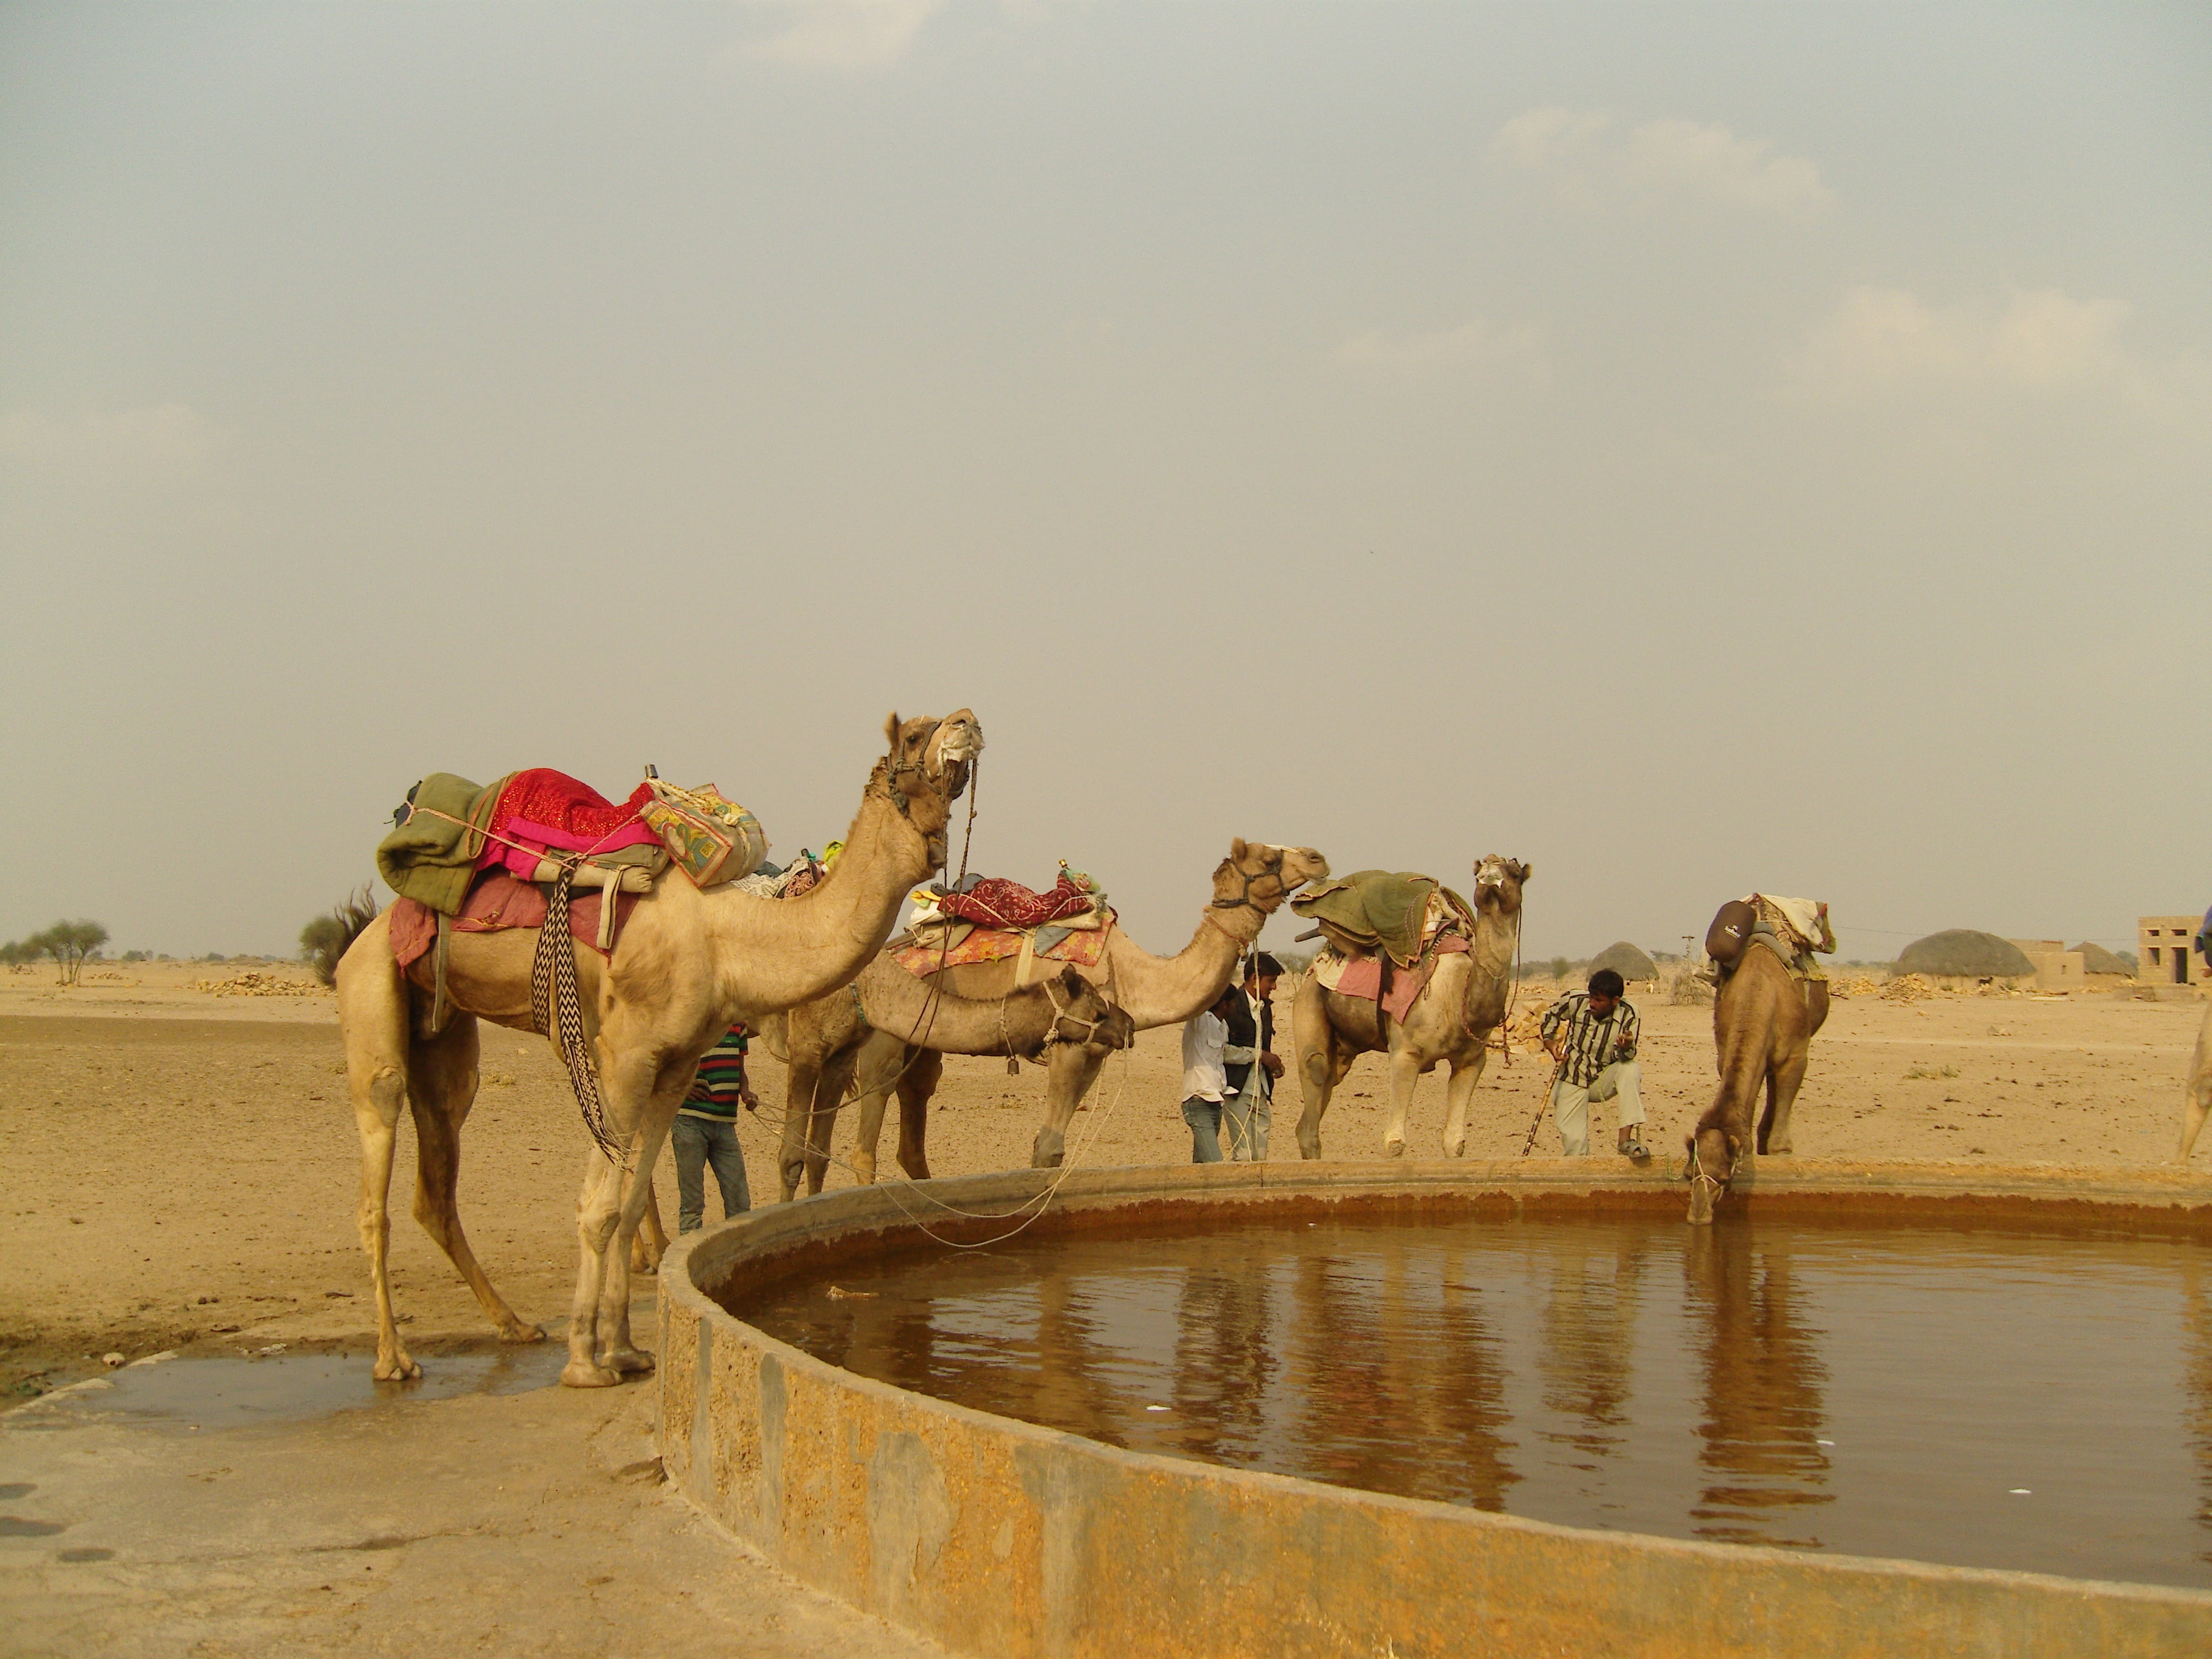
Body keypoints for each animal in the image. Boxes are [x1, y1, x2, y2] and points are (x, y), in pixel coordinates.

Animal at [332, 711, 981, 1386]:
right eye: (917, 735)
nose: (969, 720)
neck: (730, 938)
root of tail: (367, 929)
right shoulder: (628, 1055)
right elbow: (600, 1208)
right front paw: (586, 1362)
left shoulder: (675, 1064)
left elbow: (629, 1198)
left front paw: (625, 1349)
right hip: (372, 991)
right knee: (377, 1159)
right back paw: (393, 1357)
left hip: (444, 1031)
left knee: (439, 1169)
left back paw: (514, 1325)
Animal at [760, 959, 1136, 1200]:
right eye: (1098, 1011)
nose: (1128, 1025)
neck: (871, 991)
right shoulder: (806, 1049)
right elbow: (791, 1158)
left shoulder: (839, 1057)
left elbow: (818, 1155)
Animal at [796, 840, 1330, 1178]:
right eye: (1268, 855)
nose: (1317, 857)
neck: (1131, 974)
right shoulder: (1069, 1041)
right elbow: (1048, 1146)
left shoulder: (1097, 1050)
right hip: (886, 1031)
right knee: (875, 1109)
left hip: (926, 1040)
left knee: (917, 1100)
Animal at [1291, 856, 1531, 1161]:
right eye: (1478, 873)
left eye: (1515, 873)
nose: (1490, 872)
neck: (1459, 997)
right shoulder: (1405, 1052)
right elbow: (1395, 1144)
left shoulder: (1472, 1060)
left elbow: (1455, 1144)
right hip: (1309, 1001)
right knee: (1316, 1069)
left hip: (1345, 1045)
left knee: (1325, 1088)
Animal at [1684, 940, 1830, 1224]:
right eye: (1688, 1174)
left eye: (1723, 1178)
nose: (1698, 1215)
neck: (1760, 991)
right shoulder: (1725, 1050)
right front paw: (1749, 1147)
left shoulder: (1796, 1055)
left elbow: (1785, 1091)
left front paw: (1780, 1150)